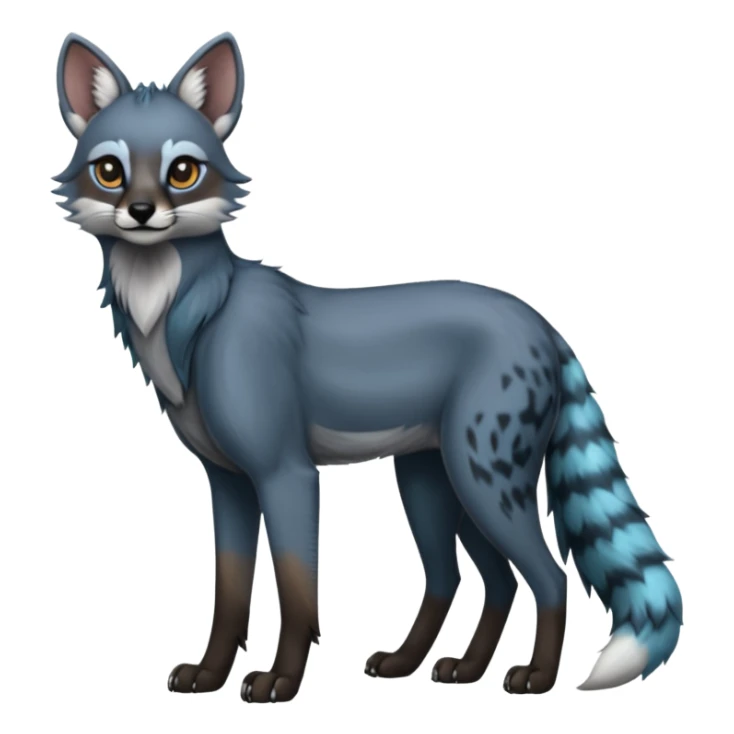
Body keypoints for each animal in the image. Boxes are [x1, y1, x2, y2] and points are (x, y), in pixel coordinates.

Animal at [54, 33, 682, 704]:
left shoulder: (286, 473)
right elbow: (230, 593)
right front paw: (209, 674)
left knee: (547, 577)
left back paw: (536, 677)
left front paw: (282, 679)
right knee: (475, 579)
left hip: (483, 482)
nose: (142, 210)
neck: (194, 319)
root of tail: (540, 320)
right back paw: (442, 666)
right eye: (110, 171)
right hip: (436, 483)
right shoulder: (226, 481)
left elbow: (295, 590)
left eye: (183, 171)